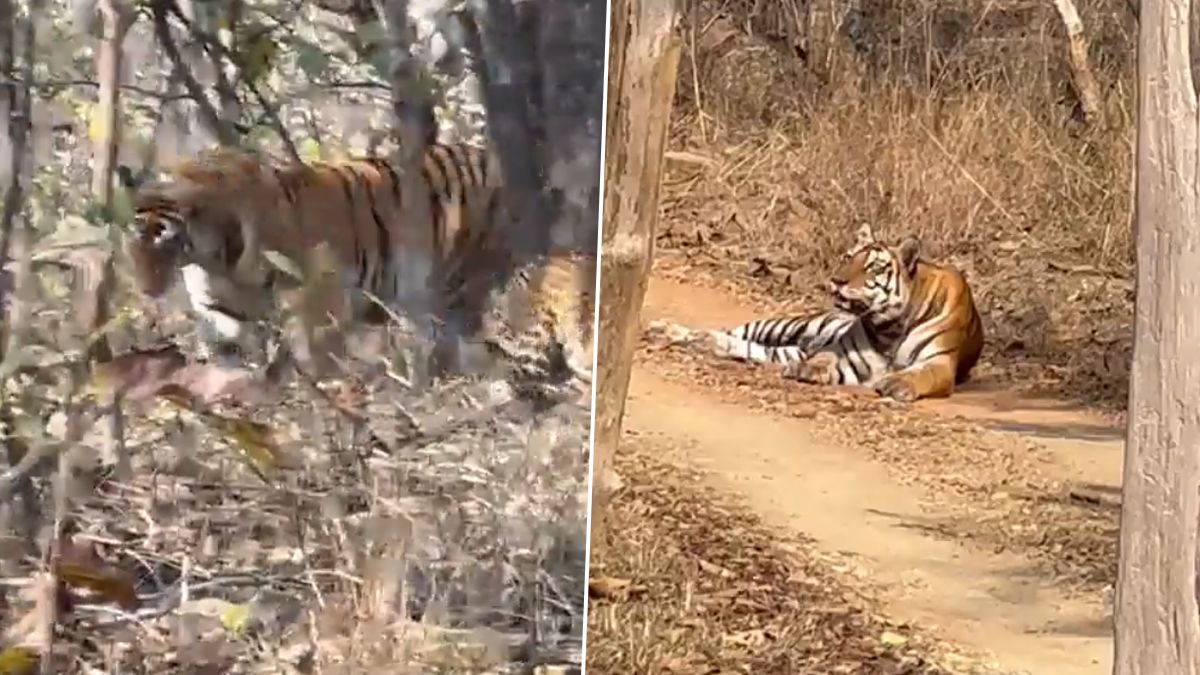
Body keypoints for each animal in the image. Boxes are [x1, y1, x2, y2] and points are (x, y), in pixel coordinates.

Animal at [121, 142, 516, 369]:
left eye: (162, 241)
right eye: (132, 244)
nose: (145, 290)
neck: (213, 259)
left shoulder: (318, 294)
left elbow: (317, 354)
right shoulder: (221, 312)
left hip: (460, 274)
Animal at [648, 223, 984, 398]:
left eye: (871, 268)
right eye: (847, 257)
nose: (836, 280)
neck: (890, 327)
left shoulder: (940, 363)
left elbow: (922, 375)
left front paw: (897, 383)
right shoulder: (844, 354)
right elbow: (824, 358)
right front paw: (807, 369)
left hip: (781, 346)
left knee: (736, 343)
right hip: (779, 326)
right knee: (728, 331)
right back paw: (664, 330)